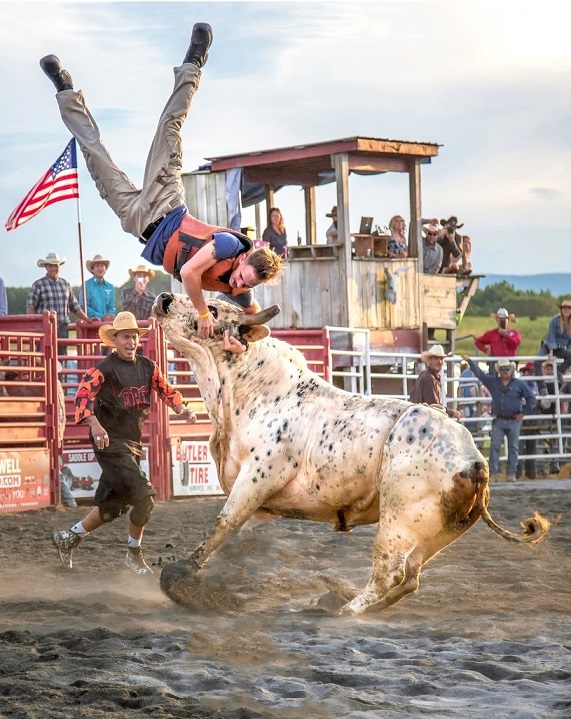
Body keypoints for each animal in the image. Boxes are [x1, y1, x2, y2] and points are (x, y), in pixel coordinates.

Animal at [152, 296, 556, 616]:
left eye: (213, 310)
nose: (164, 298)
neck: (255, 391)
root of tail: (474, 460)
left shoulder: (258, 476)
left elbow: (223, 524)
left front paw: (178, 577)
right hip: (439, 532)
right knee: (411, 578)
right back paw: (338, 598)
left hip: (398, 520)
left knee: (389, 574)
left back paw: (342, 611)